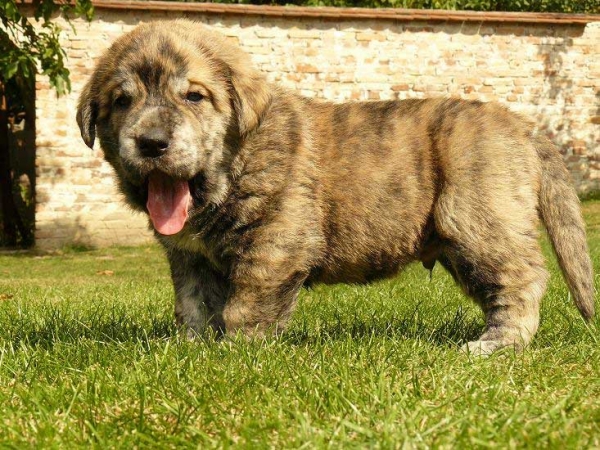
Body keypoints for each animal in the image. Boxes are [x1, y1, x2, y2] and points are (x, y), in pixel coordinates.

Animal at [78, 20, 596, 356]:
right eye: (121, 101)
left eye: (193, 96)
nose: (151, 143)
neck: (232, 168)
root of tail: (524, 126)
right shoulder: (190, 256)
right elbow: (194, 304)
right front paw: (189, 349)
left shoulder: (274, 243)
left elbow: (245, 305)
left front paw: (235, 354)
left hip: (478, 220)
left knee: (522, 277)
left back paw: (498, 343)